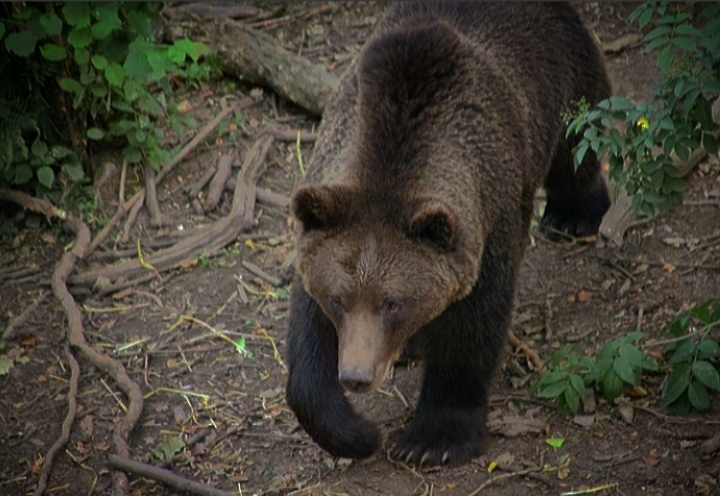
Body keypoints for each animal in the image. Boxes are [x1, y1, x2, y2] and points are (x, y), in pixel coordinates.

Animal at [285, 2, 611, 467]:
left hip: (563, 77)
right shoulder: (324, 222)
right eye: (338, 298)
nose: (357, 376)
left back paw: (573, 215)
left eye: (393, 302)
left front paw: (432, 439)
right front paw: (357, 433)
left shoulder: (488, 224)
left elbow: (471, 330)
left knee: (579, 142)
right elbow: (308, 345)